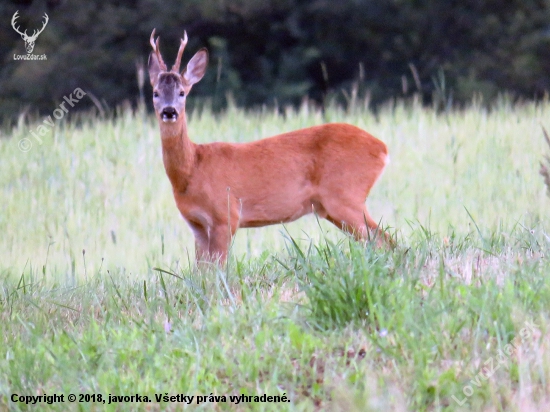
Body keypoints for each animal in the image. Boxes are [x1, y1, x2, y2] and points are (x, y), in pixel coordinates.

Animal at [148, 31, 392, 264]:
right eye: (155, 93)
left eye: (182, 92)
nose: (169, 111)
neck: (192, 169)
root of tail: (382, 148)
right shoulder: (196, 225)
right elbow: (202, 272)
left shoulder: (226, 216)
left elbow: (219, 269)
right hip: (333, 206)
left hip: (345, 195)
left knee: (383, 241)